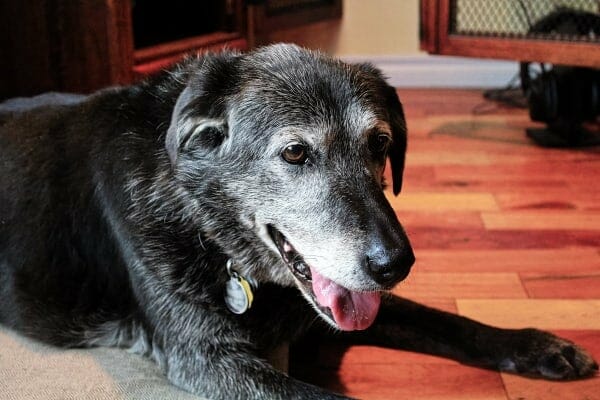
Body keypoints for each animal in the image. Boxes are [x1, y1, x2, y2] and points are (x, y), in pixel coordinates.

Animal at [1, 44, 596, 400]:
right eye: (294, 153)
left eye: (380, 144)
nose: (396, 264)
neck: (207, 229)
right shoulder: (210, 360)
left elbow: (450, 322)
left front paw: (540, 345)